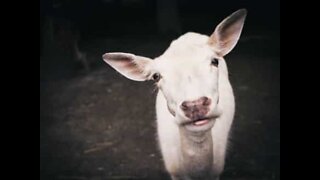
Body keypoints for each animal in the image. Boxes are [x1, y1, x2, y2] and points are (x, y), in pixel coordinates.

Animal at [102, 9, 248, 180]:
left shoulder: (217, 172)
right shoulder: (173, 172)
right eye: (156, 76)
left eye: (215, 61)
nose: (195, 105)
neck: (196, 174)